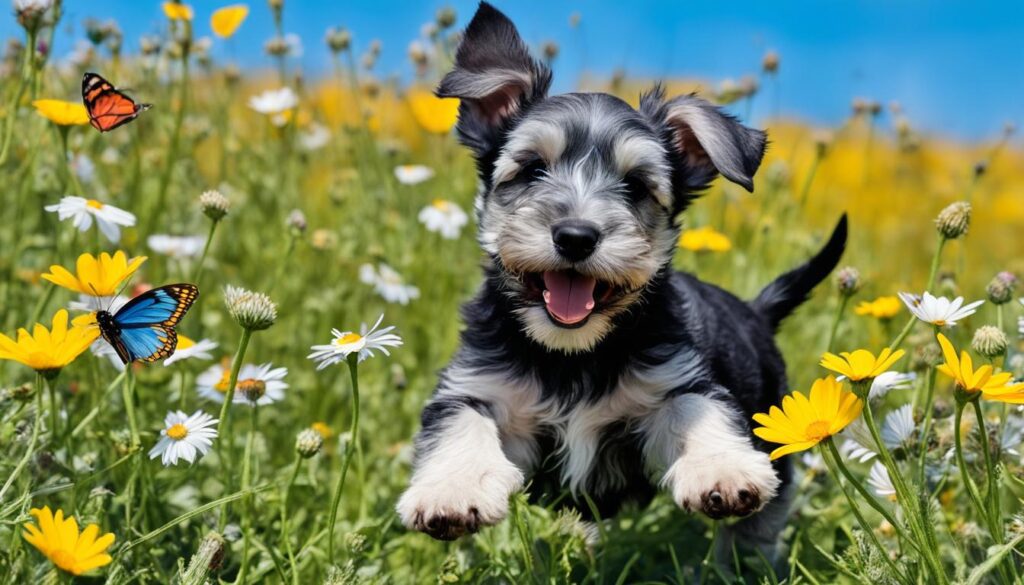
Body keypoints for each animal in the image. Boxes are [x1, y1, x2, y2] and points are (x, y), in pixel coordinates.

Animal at [399, 1, 847, 561]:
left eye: (635, 185)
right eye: (532, 168)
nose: (575, 236)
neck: (571, 355)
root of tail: (755, 311)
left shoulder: (672, 382)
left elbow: (698, 406)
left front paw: (720, 469)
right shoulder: (476, 386)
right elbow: (460, 421)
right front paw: (452, 490)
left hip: (775, 427)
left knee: (764, 515)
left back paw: (745, 562)